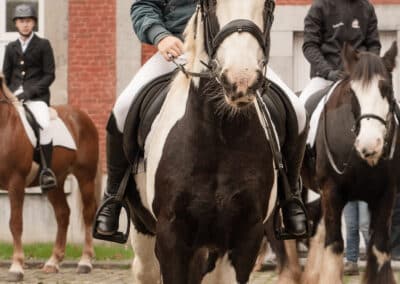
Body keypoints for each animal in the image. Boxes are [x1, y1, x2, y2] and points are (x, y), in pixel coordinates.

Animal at [0, 74, 100, 282]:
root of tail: (81, 115)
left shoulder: (16, 182)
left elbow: (15, 223)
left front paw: (16, 267)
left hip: (85, 175)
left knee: (88, 213)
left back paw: (85, 262)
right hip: (56, 182)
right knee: (63, 214)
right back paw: (53, 262)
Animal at [126, 0, 302, 284]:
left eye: (267, 5)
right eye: (210, 4)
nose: (240, 80)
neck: (220, 134)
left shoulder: (245, 235)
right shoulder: (171, 236)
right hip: (144, 230)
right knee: (146, 270)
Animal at [302, 42, 398, 284]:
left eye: (386, 89)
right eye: (352, 93)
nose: (369, 144)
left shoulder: (386, 194)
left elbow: (379, 247)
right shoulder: (332, 191)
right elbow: (335, 244)